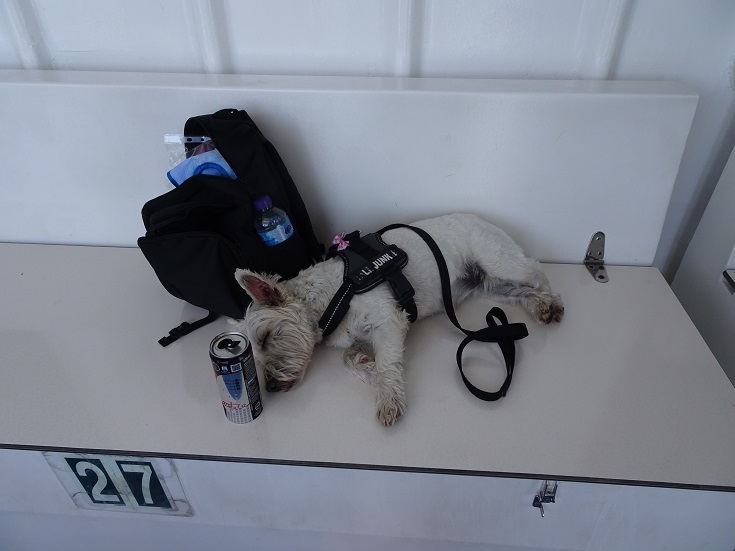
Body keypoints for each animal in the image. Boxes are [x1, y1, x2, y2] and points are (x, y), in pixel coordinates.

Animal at [236, 215, 564, 426]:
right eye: (255, 353)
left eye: (266, 337)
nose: (271, 387)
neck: (329, 298)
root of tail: (488, 222)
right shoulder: (354, 337)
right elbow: (349, 359)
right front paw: (368, 370)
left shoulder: (389, 321)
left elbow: (387, 362)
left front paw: (388, 395)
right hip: (490, 284)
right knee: (522, 291)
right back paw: (540, 305)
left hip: (499, 261)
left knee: (536, 271)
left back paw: (552, 301)